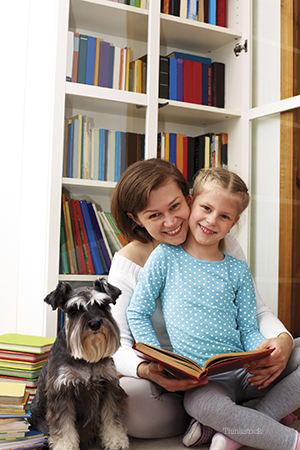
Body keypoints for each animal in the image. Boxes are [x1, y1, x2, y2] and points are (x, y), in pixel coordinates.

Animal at [29, 278, 129, 450]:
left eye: (103, 305)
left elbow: (112, 418)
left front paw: (116, 441)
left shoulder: (109, 386)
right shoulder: (62, 392)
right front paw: (65, 446)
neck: (86, 359)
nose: (95, 324)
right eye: (75, 309)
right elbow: (64, 426)